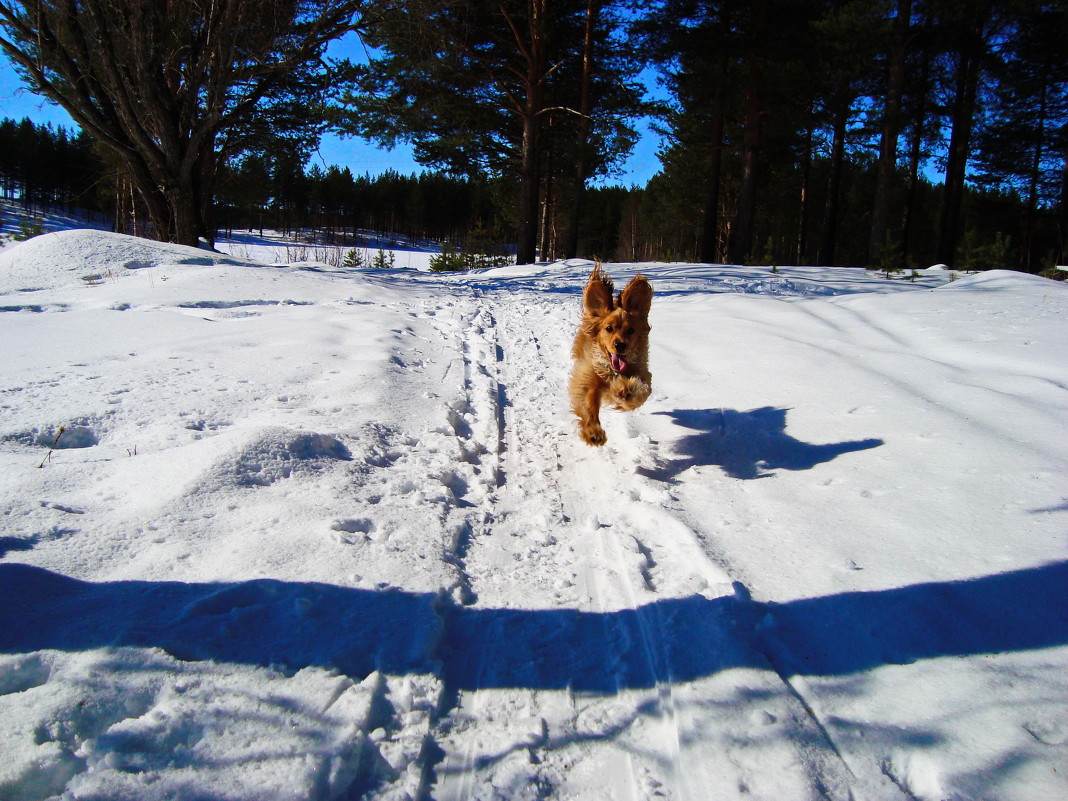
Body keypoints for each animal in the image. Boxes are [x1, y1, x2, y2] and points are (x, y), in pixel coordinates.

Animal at [568, 267, 649, 448]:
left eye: (631, 330)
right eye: (609, 328)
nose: (620, 345)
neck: (613, 371)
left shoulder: (643, 373)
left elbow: (642, 391)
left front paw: (627, 391)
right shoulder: (587, 379)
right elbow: (587, 405)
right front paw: (593, 432)